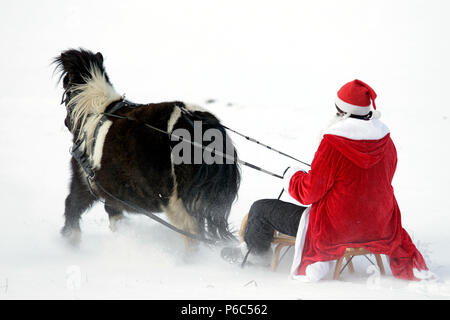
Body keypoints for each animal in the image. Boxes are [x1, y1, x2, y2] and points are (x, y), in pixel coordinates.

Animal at [54, 48, 241, 248]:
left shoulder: (86, 181)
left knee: (192, 235)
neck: (92, 113)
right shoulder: (113, 191)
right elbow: (114, 215)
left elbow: (72, 206)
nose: (65, 122)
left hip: (176, 202)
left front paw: (70, 241)